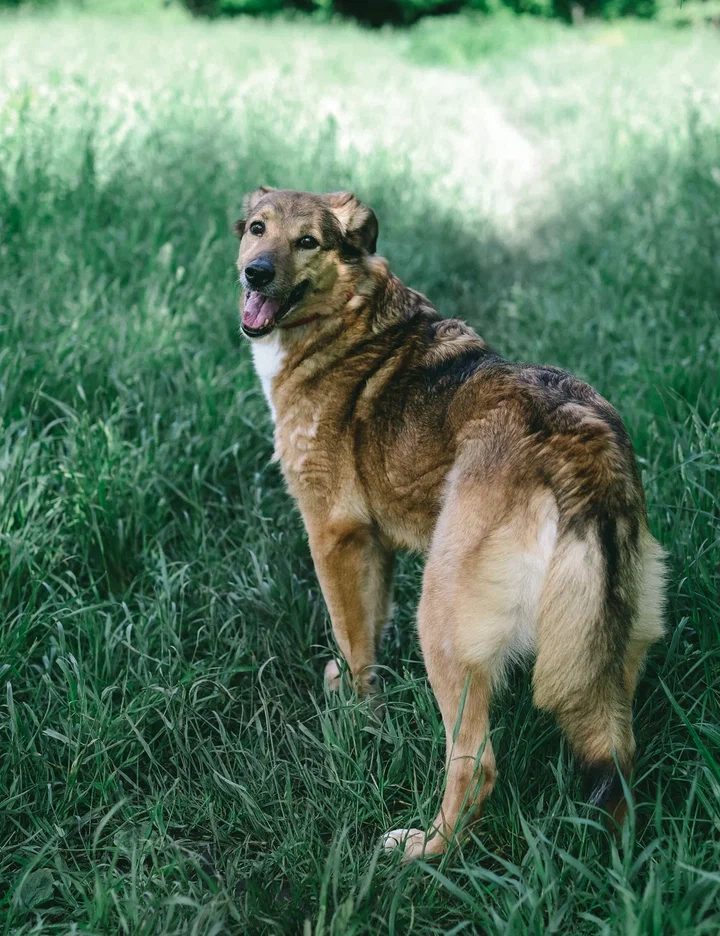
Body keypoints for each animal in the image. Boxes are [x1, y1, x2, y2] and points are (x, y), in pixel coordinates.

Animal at [233, 186, 668, 860]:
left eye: (307, 241)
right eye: (257, 228)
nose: (255, 272)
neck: (349, 319)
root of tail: (579, 450)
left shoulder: (334, 534)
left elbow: (352, 639)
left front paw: (355, 718)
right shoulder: (375, 546)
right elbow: (367, 631)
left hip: (441, 620)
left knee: (475, 763)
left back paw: (424, 849)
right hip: (606, 651)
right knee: (616, 758)